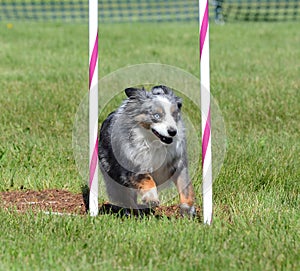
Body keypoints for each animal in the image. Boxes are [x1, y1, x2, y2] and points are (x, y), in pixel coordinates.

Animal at [99, 85, 196, 217]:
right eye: (156, 116)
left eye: (174, 115)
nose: (173, 132)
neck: (154, 143)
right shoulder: (133, 165)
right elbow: (147, 178)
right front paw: (152, 199)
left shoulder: (178, 164)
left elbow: (185, 186)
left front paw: (187, 210)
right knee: (125, 196)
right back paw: (133, 212)